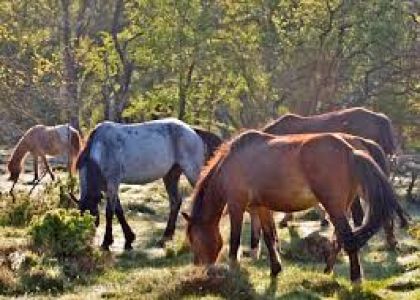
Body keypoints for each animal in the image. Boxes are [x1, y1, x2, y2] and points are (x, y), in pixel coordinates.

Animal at [73, 118, 218, 250]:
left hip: (192, 172)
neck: (101, 149)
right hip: (170, 176)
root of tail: (192, 131)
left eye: (90, 216)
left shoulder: (112, 182)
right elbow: (119, 211)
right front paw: (129, 239)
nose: (86, 241)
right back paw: (165, 237)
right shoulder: (108, 186)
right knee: (175, 202)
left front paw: (106, 242)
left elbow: (110, 212)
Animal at [184, 130, 400, 282]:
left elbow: (235, 240)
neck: (231, 163)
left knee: (347, 237)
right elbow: (269, 237)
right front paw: (275, 270)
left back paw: (355, 279)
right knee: (339, 238)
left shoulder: (237, 206)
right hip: (341, 207)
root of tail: (350, 150)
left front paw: (233, 269)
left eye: (194, 239)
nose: (200, 268)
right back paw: (327, 271)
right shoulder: (262, 208)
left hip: (334, 207)